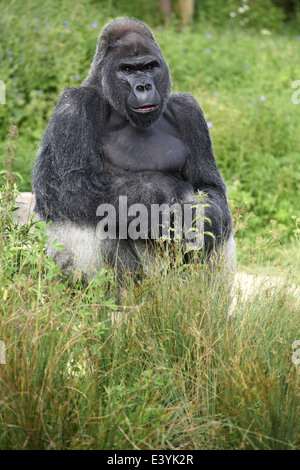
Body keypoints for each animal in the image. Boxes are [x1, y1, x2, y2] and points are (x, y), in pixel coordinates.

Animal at [32, 18, 234, 280]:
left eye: (149, 67)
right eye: (127, 70)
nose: (144, 86)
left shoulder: (189, 111)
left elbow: (209, 190)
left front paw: (198, 216)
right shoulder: (74, 107)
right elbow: (66, 187)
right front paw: (157, 201)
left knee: (218, 227)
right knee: (91, 215)